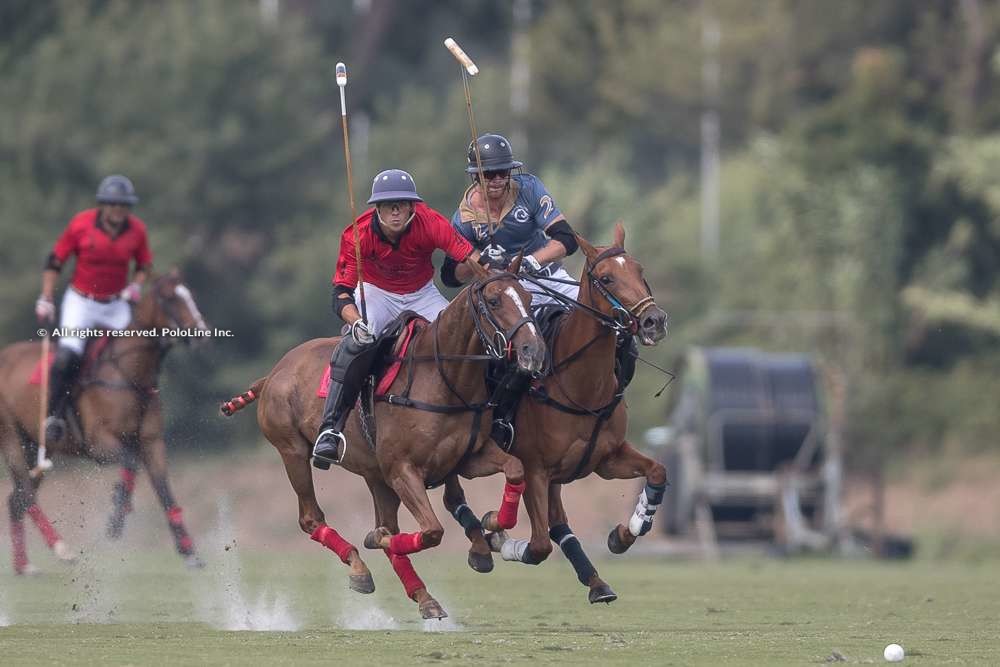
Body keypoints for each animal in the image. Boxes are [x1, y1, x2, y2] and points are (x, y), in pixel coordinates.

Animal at [0, 272, 208, 576]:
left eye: (189, 294)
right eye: (171, 298)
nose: (201, 333)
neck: (129, 375)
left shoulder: (152, 442)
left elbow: (164, 490)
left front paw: (189, 552)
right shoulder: (99, 444)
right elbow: (130, 462)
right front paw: (116, 519)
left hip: (36, 446)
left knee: (16, 499)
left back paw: (23, 565)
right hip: (11, 436)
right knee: (25, 494)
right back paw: (62, 549)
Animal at [221, 258, 548, 620]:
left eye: (528, 298)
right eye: (493, 300)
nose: (534, 352)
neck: (443, 379)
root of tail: (273, 373)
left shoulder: (466, 458)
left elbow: (515, 468)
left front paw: (494, 523)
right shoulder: (402, 470)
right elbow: (431, 531)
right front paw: (377, 539)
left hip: (374, 474)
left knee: (386, 521)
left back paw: (423, 596)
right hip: (292, 450)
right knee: (311, 518)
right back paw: (360, 566)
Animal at [444, 224, 668, 604]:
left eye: (640, 271)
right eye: (606, 278)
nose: (654, 321)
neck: (581, 386)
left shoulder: (606, 458)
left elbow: (657, 472)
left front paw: (625, 532)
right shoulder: (535, 469)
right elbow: (538, 546)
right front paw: (497, 536)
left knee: (558, 519)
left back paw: (596, 582)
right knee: (452, 494)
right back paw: (483, 542)